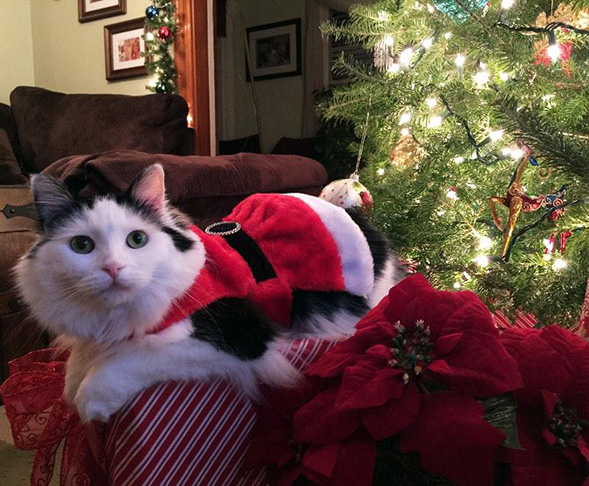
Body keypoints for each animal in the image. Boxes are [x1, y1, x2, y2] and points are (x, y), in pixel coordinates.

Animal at [16, 164, 400, 422]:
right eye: (82, 246)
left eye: (137, 239)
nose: (112, 268)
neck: (117, 317)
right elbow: (75, 363)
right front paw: (73, 384)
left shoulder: (238, 336)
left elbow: (135, 356)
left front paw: (90, 399)